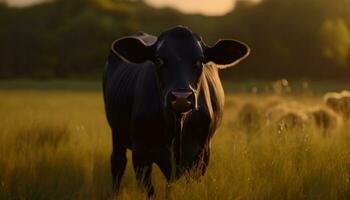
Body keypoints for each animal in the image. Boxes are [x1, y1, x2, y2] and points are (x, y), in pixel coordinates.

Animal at [102, 25, 250, 196]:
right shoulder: (140, 154)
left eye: (199, 61)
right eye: (159, 60)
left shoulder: (202, 155)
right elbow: (149, 191)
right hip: (116, 133)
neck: (177, 126)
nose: (181, 97)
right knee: (117, 163)